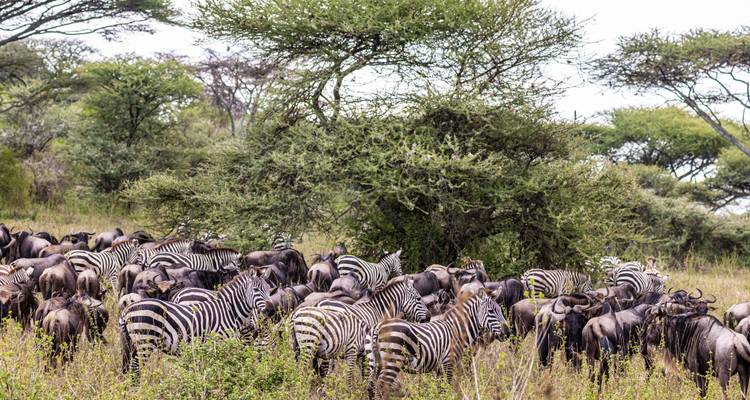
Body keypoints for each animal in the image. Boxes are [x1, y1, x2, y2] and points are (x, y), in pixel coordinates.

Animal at [120, 272, 271, 376]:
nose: (270, 309)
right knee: (136, 369)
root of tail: (127, 310)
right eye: (256, 290)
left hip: (132, 344)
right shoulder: (219, 340)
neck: (229, 310)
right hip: (145, 341)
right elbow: (221, 367)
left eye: (270, 289)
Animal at [366, 290, 508, 400]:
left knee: (371, 387)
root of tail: (378, 327)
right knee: (382, 387)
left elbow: (440, 389)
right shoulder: (449, 362)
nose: (507, 333)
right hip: (392, 360)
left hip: (373, 362)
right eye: (491, 311)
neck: (457, 329)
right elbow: (447, 387)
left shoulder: (439, 367)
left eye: (501, 311)